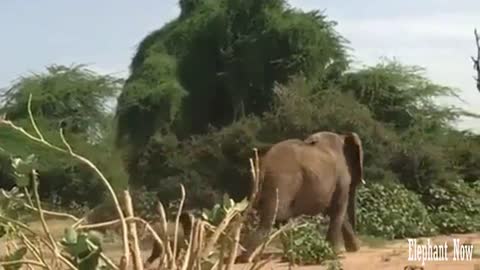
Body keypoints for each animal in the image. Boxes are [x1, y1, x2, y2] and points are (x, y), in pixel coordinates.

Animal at [238, 132, 366, 262]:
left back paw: (288, 255)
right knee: (273, 219)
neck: (342, 136)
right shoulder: (341, 178)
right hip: (281, 182)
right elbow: (339, 208)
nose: (357, 247)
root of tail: (263, 164)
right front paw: (335, 253)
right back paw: (245, 258)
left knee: (279, 220)